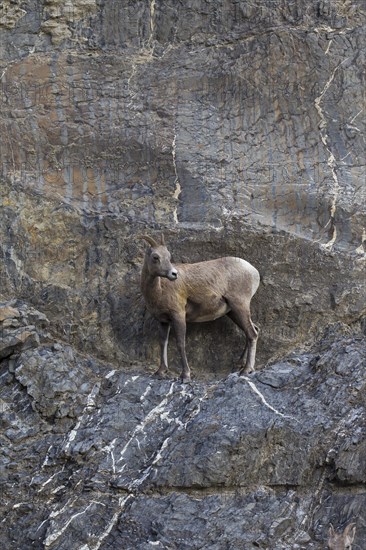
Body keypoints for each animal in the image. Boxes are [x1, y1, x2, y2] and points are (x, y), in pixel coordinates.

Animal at [139, 234, 260, 384]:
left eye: (168, 256)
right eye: (155, 257)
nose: (174, 274)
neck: (159, 290)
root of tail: (254, 271)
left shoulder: (178, 316)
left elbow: (180, 343)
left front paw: (185, 375)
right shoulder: (163, 321)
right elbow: (163, 343)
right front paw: (160, 372)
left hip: (240, 306)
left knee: (252, 334)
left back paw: (246, 370)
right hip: (233, 312)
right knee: (253, 330)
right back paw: (239, 364)